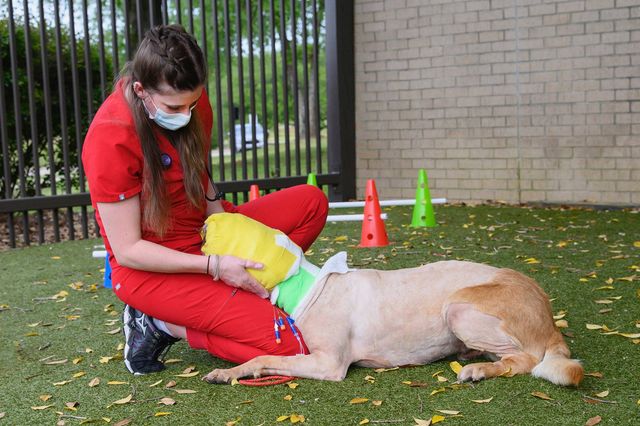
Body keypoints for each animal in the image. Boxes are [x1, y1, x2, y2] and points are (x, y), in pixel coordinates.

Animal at [202, 260, 584, 386]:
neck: (314, 286)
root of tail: (548, 316)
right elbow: (261, 359)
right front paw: (228, 372)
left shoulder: (329, 364)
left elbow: (264, 356)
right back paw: (473, 356)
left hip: (458, 308)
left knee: (525, 360)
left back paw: (478, 369)